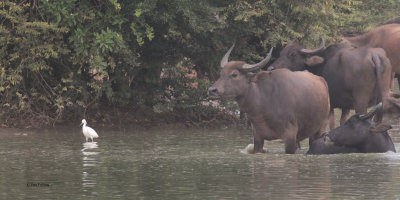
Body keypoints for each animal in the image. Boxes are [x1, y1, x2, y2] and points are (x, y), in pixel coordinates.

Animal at [268, 39, 400, 129]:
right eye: (281, 53)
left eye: (293, 54)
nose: (271, 68)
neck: (320, 65)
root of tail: (374, 55)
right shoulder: (346, 106)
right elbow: (341, 122)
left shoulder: (330, 104)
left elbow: (331, 125)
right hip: (383, 96)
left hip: (361, 100)